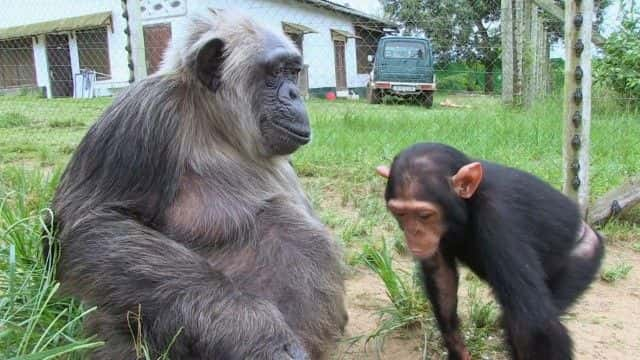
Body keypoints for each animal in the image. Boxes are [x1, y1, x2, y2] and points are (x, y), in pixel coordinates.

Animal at [47, 9, 348, 358]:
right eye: (275, 73)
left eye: (292, 71)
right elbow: (92, 223)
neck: (214, 122)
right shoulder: (139, 115)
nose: (294, 93)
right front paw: (254, 330)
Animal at [376, 143, 604, 360]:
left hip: (584, 255)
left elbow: (533, 324)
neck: (468, 204)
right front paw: (459, 352)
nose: (413, 233)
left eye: (424, 215)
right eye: (400, 213)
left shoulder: (500, 221)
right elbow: (442, 278)